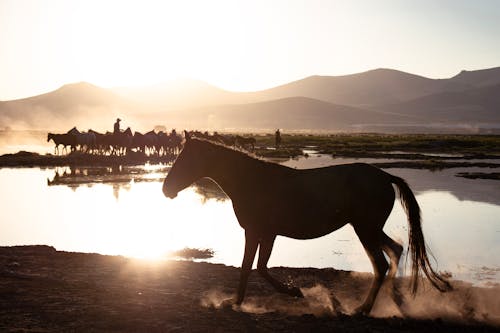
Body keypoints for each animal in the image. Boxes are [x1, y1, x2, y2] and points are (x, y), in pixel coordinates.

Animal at [162, 132, 452, 314]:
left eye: (185, 159)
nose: (166, 189)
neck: (251, 181)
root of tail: (385, 176)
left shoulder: (258, 232)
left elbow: (252, 267)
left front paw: (287, 293)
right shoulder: (266, 233)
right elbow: (256, 267)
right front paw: (237, 300)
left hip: (365, 228)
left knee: (380, 264)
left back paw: (363, 309)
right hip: (370, 228)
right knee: (396, 251)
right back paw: (395, 300)